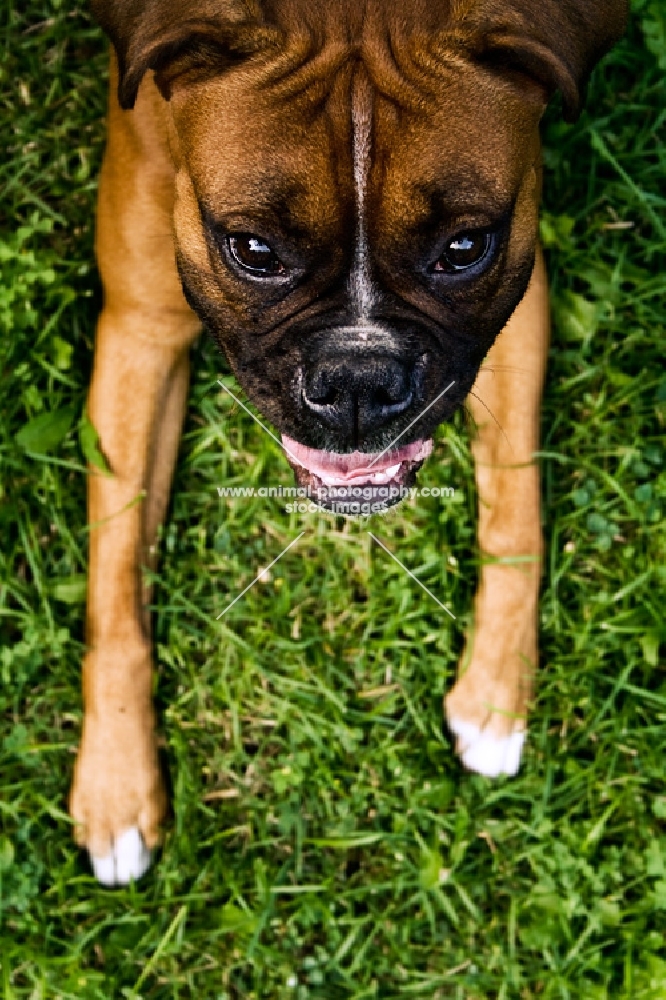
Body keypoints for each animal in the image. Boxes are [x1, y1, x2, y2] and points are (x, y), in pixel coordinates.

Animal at [70, 0, 624, 884]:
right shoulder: (141, 330)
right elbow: (117, 581)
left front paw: (496, 694)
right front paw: (117, 786)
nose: (359, 377)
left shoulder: (514, 308)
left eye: (464, 248)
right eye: (253, 250)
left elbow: (515, 509)